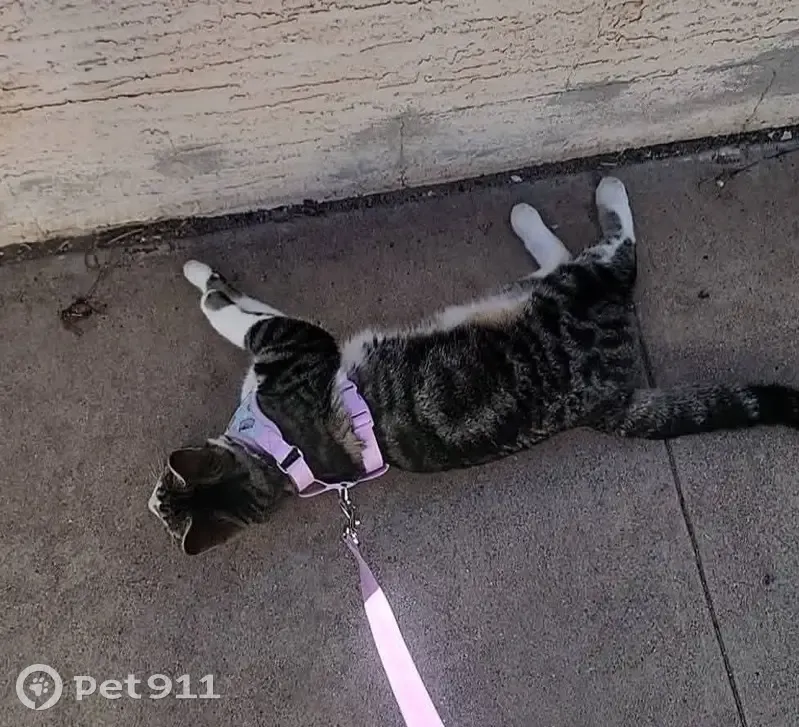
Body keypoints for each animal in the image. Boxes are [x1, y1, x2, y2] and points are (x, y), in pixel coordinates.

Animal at [149, 177, 799, 555]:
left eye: (160, 489)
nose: (151, 504)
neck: (281, 456)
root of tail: (609, 396)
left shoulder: (298, 344)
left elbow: (236, 316)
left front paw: (203, 280)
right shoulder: (298, 346)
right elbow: (240, 312)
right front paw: (211, 283)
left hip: (571, 290)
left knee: (620, 252)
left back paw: (596, 193)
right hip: (563, 291)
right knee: (595, 257)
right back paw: (535, 216)